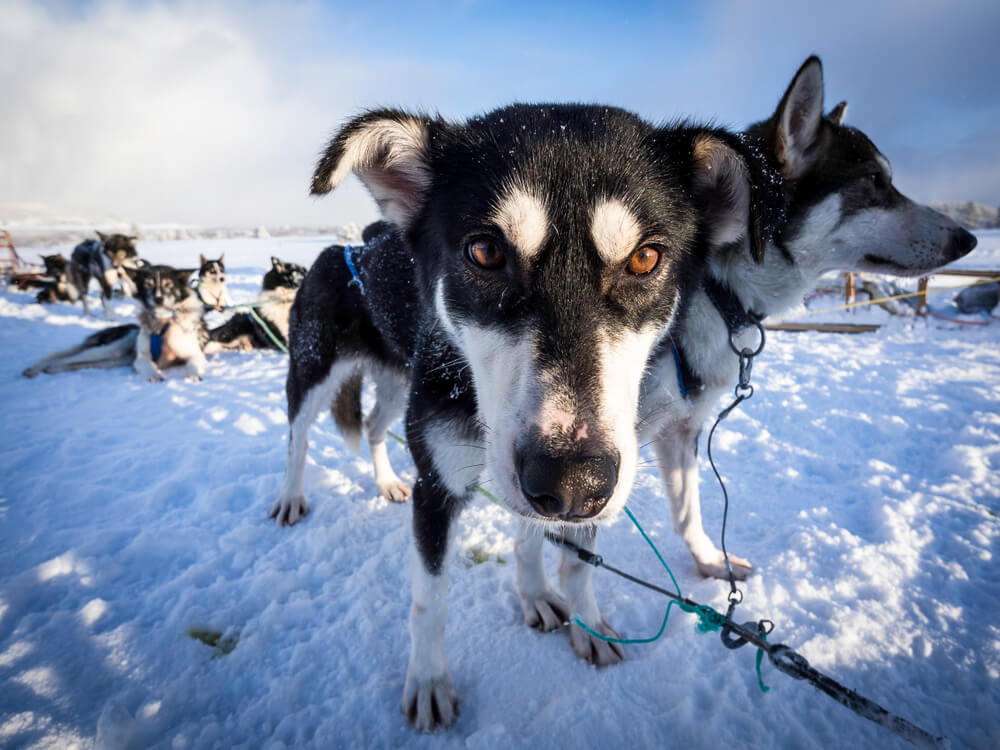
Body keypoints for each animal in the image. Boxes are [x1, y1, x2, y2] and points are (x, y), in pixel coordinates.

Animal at [270, 103, 760, 732]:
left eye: (646, 258)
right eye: (485, 251)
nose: (572, 479)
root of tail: (342, 249)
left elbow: (557, 552)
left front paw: (565, 609)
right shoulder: (439, 487)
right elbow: (430, 601)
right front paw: (428, 681)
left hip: (400, 385)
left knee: (376, 429)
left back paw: (385, 481)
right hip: (313, 372)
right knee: (298, 436)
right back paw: (290, 496)